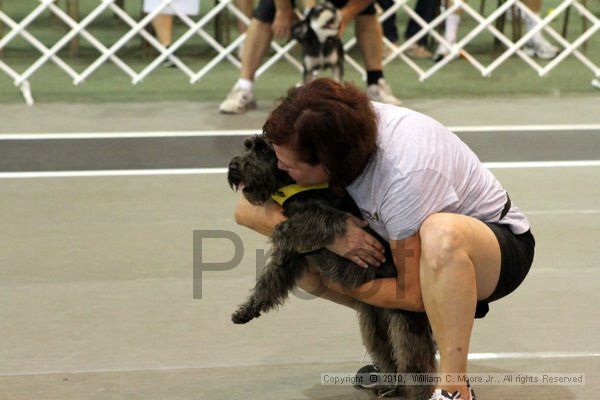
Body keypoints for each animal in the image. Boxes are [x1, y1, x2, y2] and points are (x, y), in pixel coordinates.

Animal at [229, 136, 436, 398]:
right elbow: (270, 281)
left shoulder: (334, 219)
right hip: (375, 322)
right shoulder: (291, 259)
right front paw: (248, 309)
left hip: (406, 320)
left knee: (417, 362)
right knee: (386, 352)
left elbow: (305, 222)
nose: (234, 166)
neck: (295, 186)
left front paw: (282, 230)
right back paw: (388, 386)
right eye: (247, 146)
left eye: (264, 150)